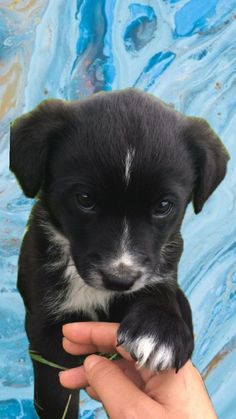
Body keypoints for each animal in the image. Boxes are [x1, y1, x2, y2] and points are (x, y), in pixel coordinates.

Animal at [9, 88, 229, 416]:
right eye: (84, 199)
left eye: (164, 206)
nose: (120, 280)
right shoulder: (46, 325)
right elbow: (57, 391)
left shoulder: (162, 267)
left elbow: (163, 293)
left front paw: (159, 332)